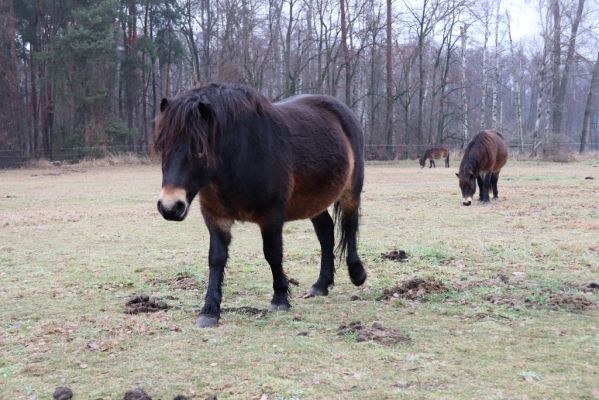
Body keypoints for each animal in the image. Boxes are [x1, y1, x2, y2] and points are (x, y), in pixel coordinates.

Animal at [152, 83, 368, 326]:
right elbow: (216, 259)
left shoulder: (271, 216)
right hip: (313, 201)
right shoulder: (215, 216)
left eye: (199, 149)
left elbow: (272, 253)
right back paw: (321, 285)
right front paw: (209, 310)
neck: (241, 156)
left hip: (351, 190)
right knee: (326, 233)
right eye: (162, 148)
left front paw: (280, 299)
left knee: (350, 225)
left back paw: (357, 274)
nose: (170, 207)